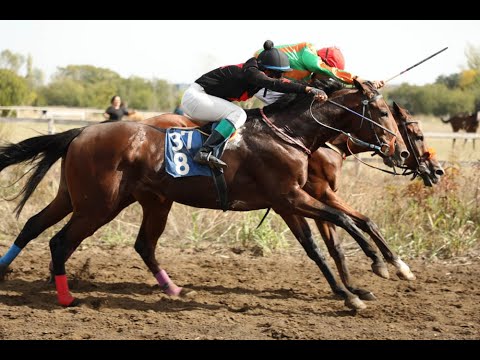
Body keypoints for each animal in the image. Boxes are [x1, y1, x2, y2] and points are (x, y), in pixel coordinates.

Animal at [0, 79, 404, 310]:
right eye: (382, 112)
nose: (399, 152)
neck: (289, 133)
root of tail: (82, 131)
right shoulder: (291, 198)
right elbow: (342, 220)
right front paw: (379, 265)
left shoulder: (288, 202)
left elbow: (319, 247)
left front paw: (352, 291)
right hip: (98, 206)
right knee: (60, 242)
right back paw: (66, 297)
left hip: (97, 199)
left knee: (44, 227)